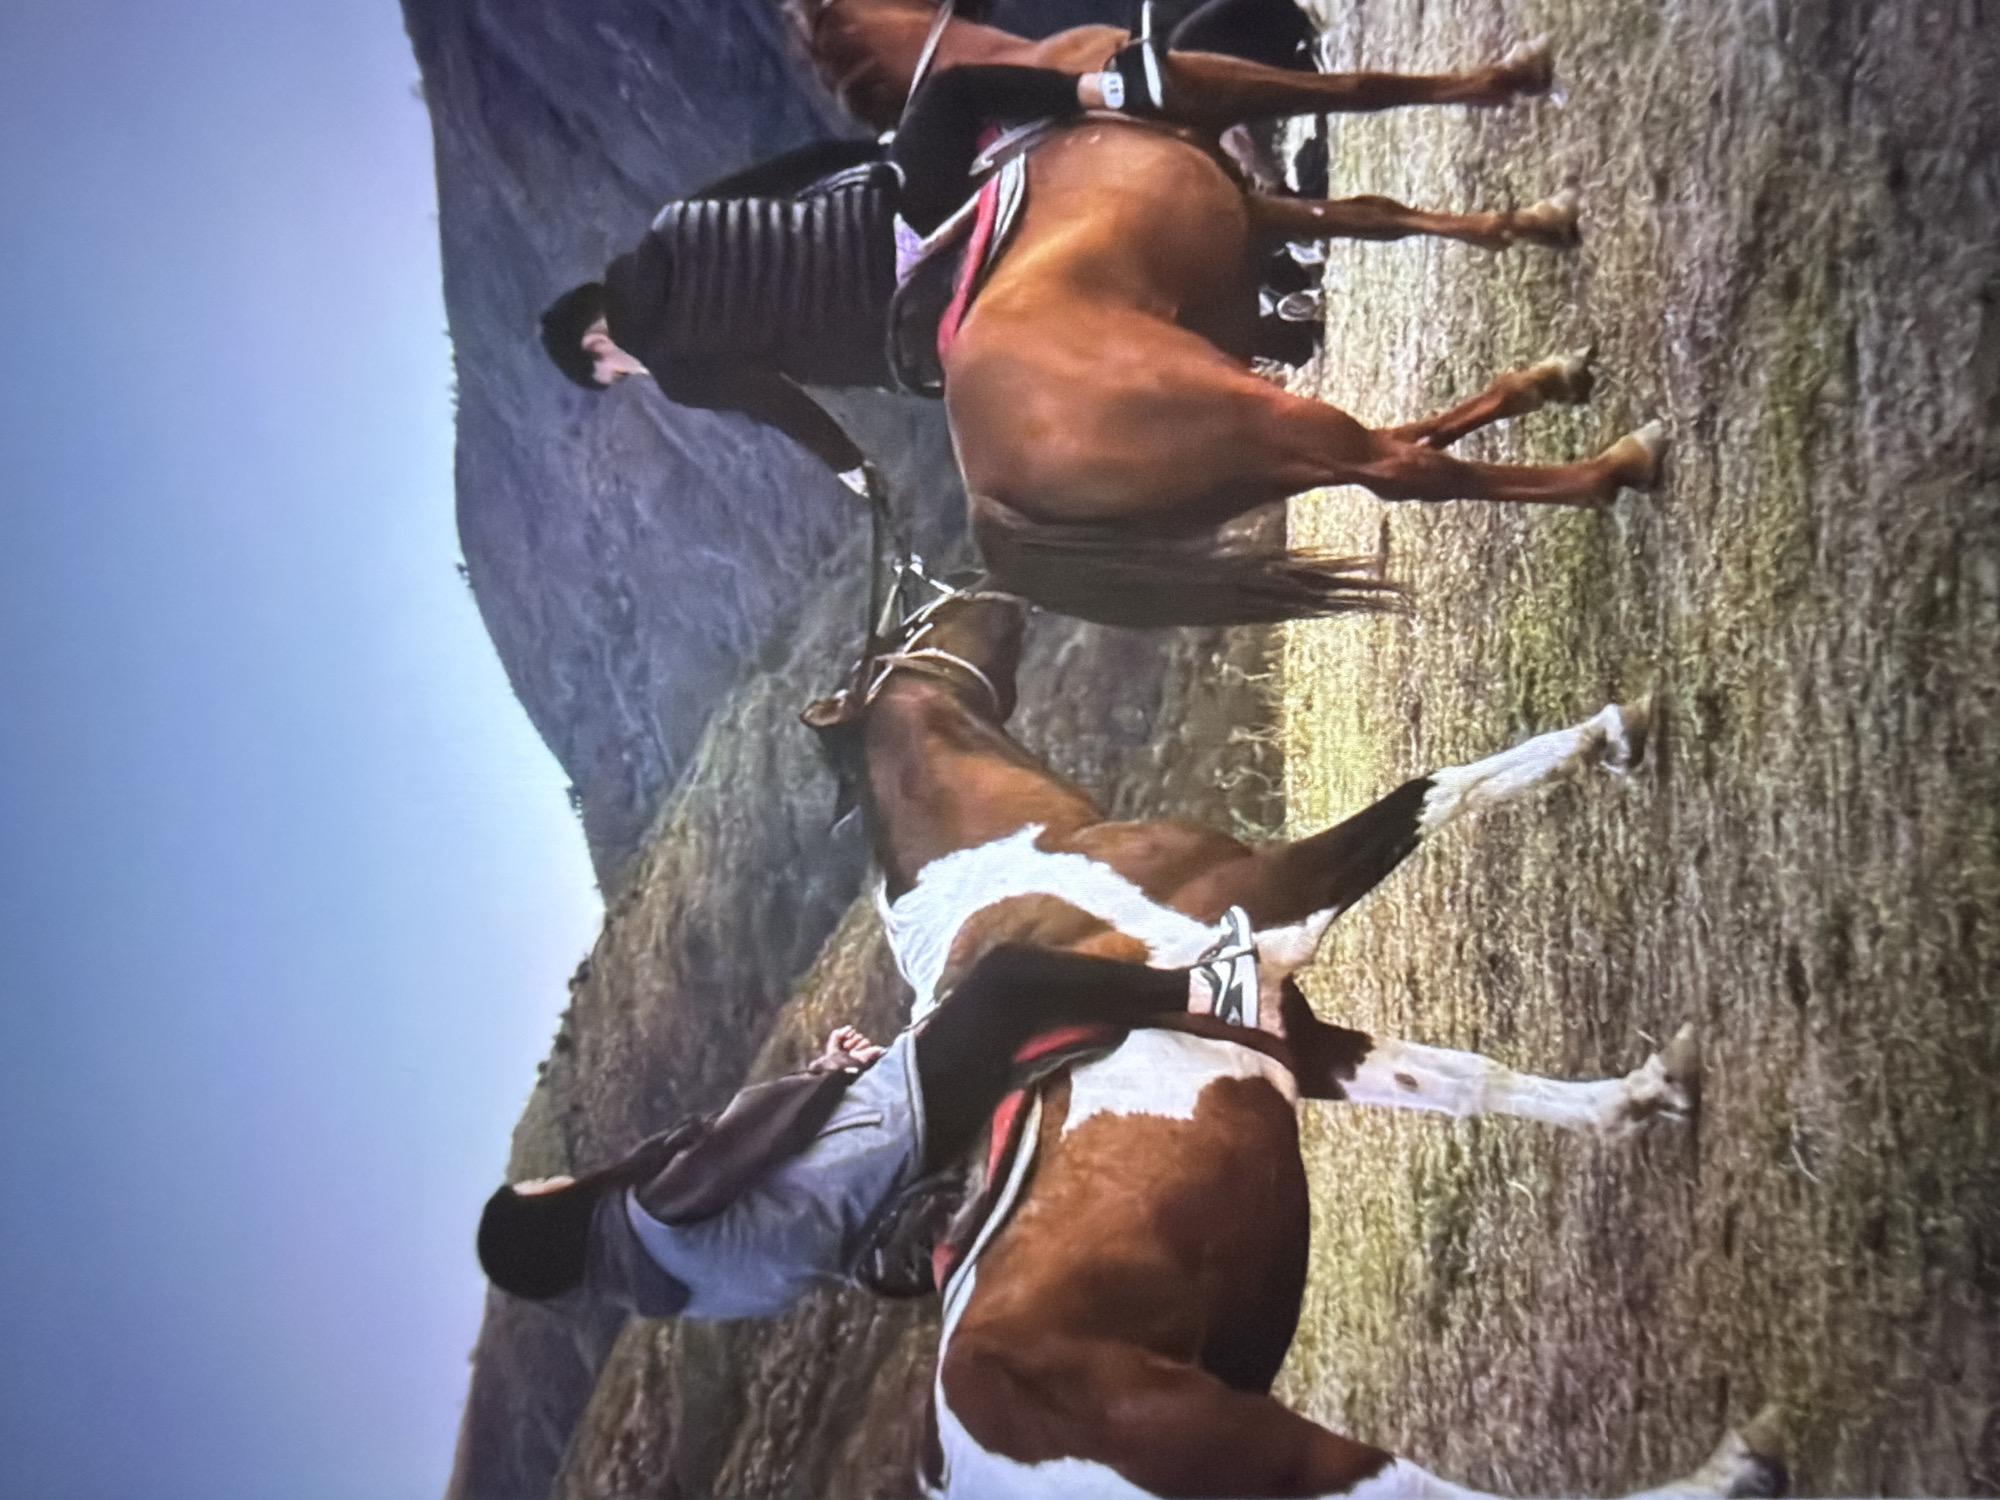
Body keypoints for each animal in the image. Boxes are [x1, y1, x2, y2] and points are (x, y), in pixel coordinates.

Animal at [795, 0, 1663, 626]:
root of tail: (989, 497)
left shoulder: (1252, 205)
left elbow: (1375, 214)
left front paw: (1531, 224)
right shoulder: (1222, 90)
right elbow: (1365, 91)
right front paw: (1512, 78)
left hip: (1237, 456)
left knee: (1392, 444)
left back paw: (1546, 382)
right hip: (1254, 423)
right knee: (1400, 469)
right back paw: (1612, 465)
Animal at [804, 585, 1784, 1498]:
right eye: (908, 625)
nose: (991, 588)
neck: (1017, 862)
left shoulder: (1301, 1043)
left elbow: (1469, 1079)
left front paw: (1642, 1096)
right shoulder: (1286, 894)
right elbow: (1440, 788)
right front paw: (1609, 732)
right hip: (1295, 1464)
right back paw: (1727, 1470)